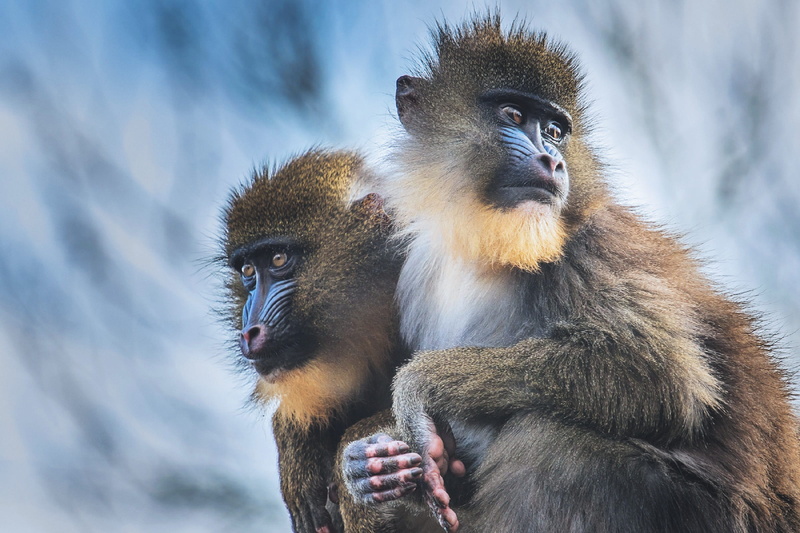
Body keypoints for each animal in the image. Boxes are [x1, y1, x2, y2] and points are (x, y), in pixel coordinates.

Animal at [341, 14, 800, 533]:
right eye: (513, 115)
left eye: (556, 130)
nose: (552, 160)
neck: (479, 242)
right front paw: (369, 466)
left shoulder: (588, 252)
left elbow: (661, 376)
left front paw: (420, 385)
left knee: (544, 437)